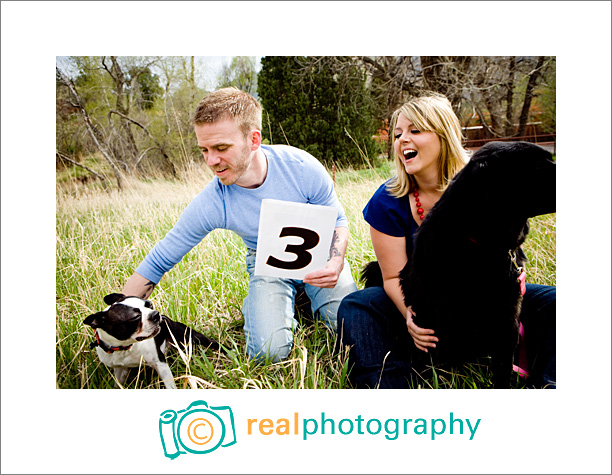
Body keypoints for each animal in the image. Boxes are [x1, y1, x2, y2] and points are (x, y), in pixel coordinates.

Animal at [83, 294, 221, 390]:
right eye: (135, 317)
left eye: (149, 305)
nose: (156, 314)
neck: (125, 347)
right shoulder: (120, 370)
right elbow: (118, 385)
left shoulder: (160, 363)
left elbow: (170, 385)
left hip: (189, 336)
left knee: (211, 342)